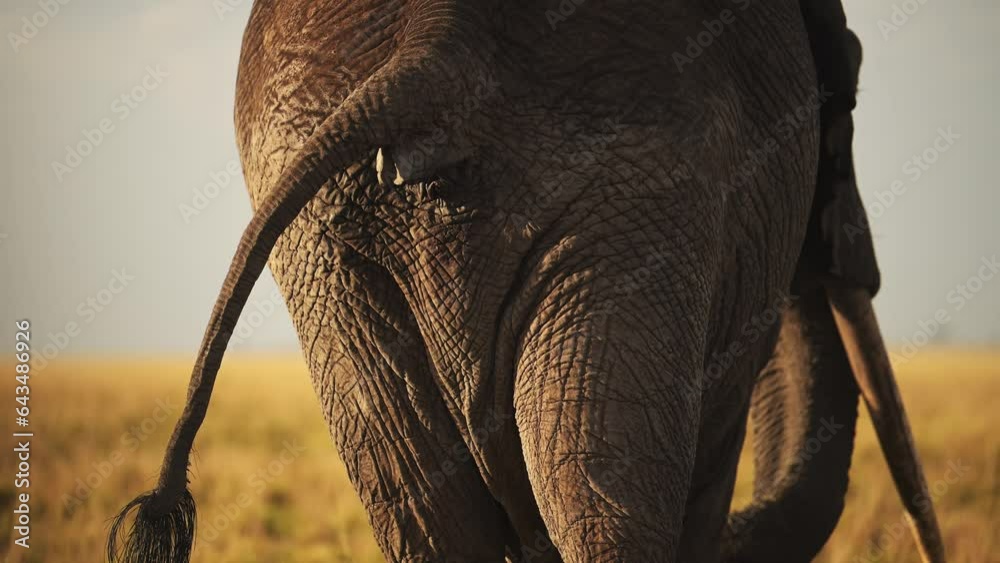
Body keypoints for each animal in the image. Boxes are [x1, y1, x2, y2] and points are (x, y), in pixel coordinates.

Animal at [108, 0, 946, 561]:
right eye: (850, 85)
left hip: (322, 242)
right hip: (634, 186)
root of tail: (436, 49)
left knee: (426, 510)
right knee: (600, 492)